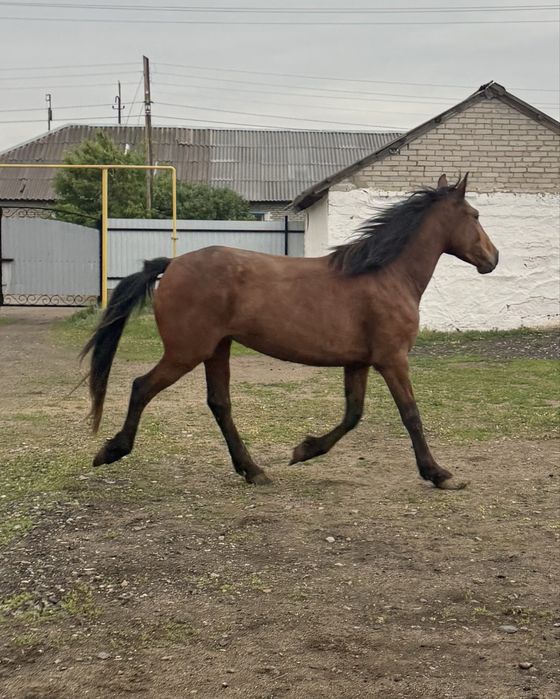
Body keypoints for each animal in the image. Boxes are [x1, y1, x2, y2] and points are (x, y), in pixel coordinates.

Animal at [82, 173, 498, 490]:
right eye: (475, 214)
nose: (493, 258)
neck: (385, 275)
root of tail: (172, 264)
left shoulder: (358, 363)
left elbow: (353, 414)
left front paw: (304, 451)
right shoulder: (393, 360)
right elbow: (410, 414)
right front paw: (440, 474)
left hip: (217, 349)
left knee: (219, 404)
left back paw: (253, 471)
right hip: (187, 352)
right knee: (142, 387)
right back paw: (111, 451)